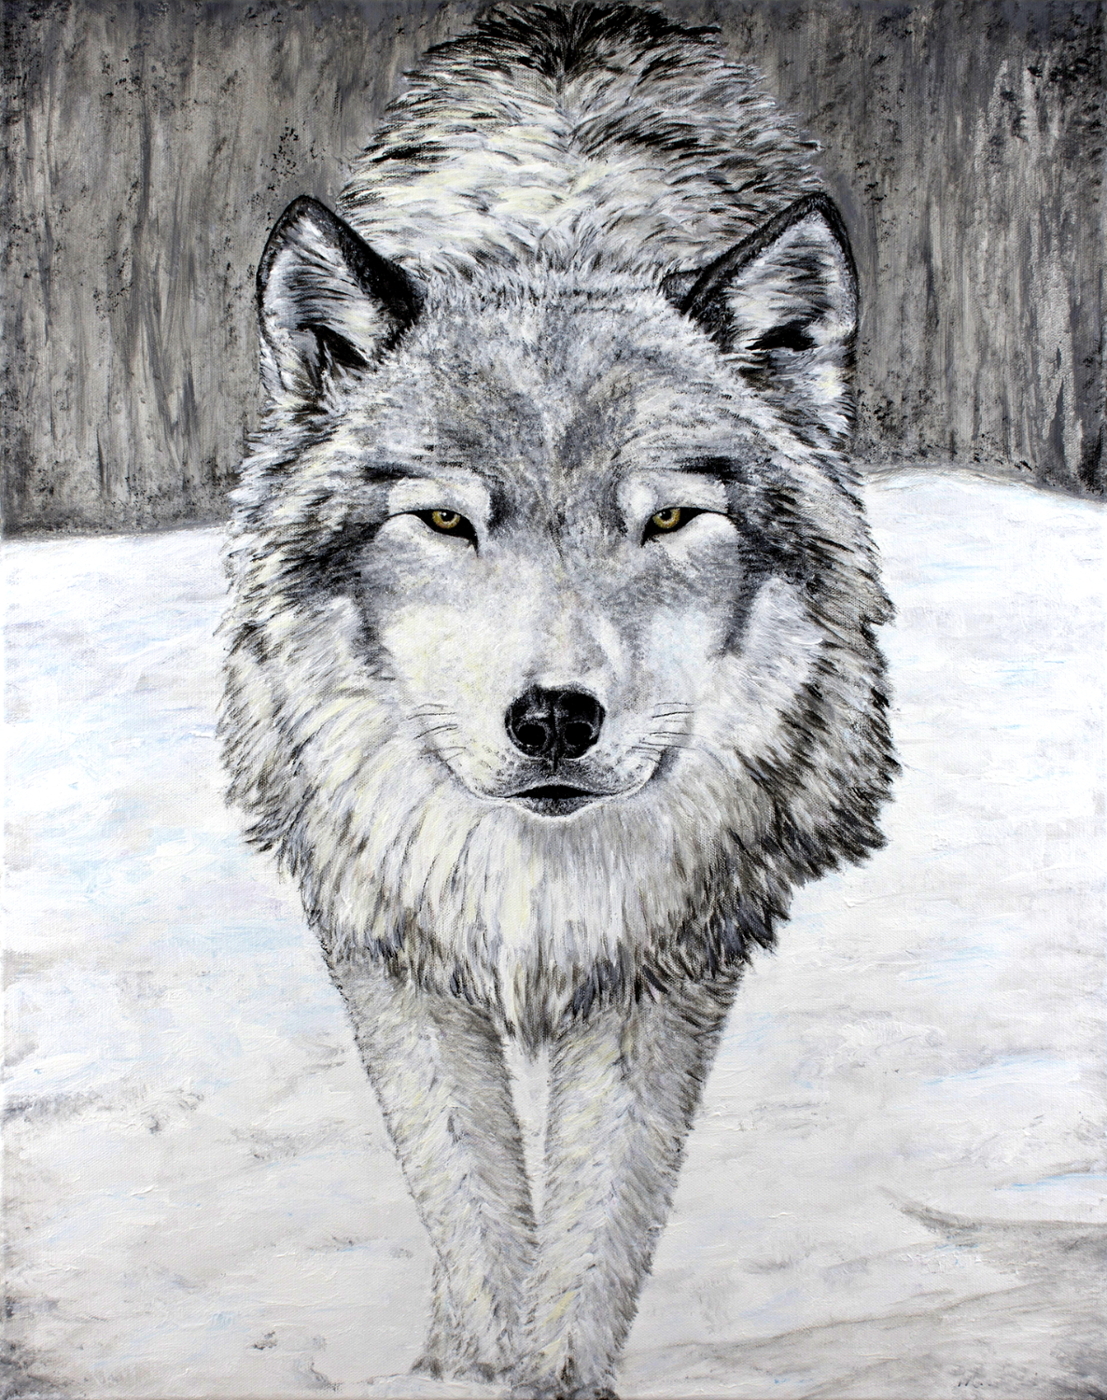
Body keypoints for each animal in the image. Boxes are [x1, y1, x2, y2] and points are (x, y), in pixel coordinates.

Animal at [221, 4, 896, 1396]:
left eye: (671, 519)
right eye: (442, 520)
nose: (553, 719)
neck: (535, 873)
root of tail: (583, 20)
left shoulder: (666, 959)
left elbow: (602, 1209)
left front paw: (552, 1371)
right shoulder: (385, 938)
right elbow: (465, 1184)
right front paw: (470, 1357)